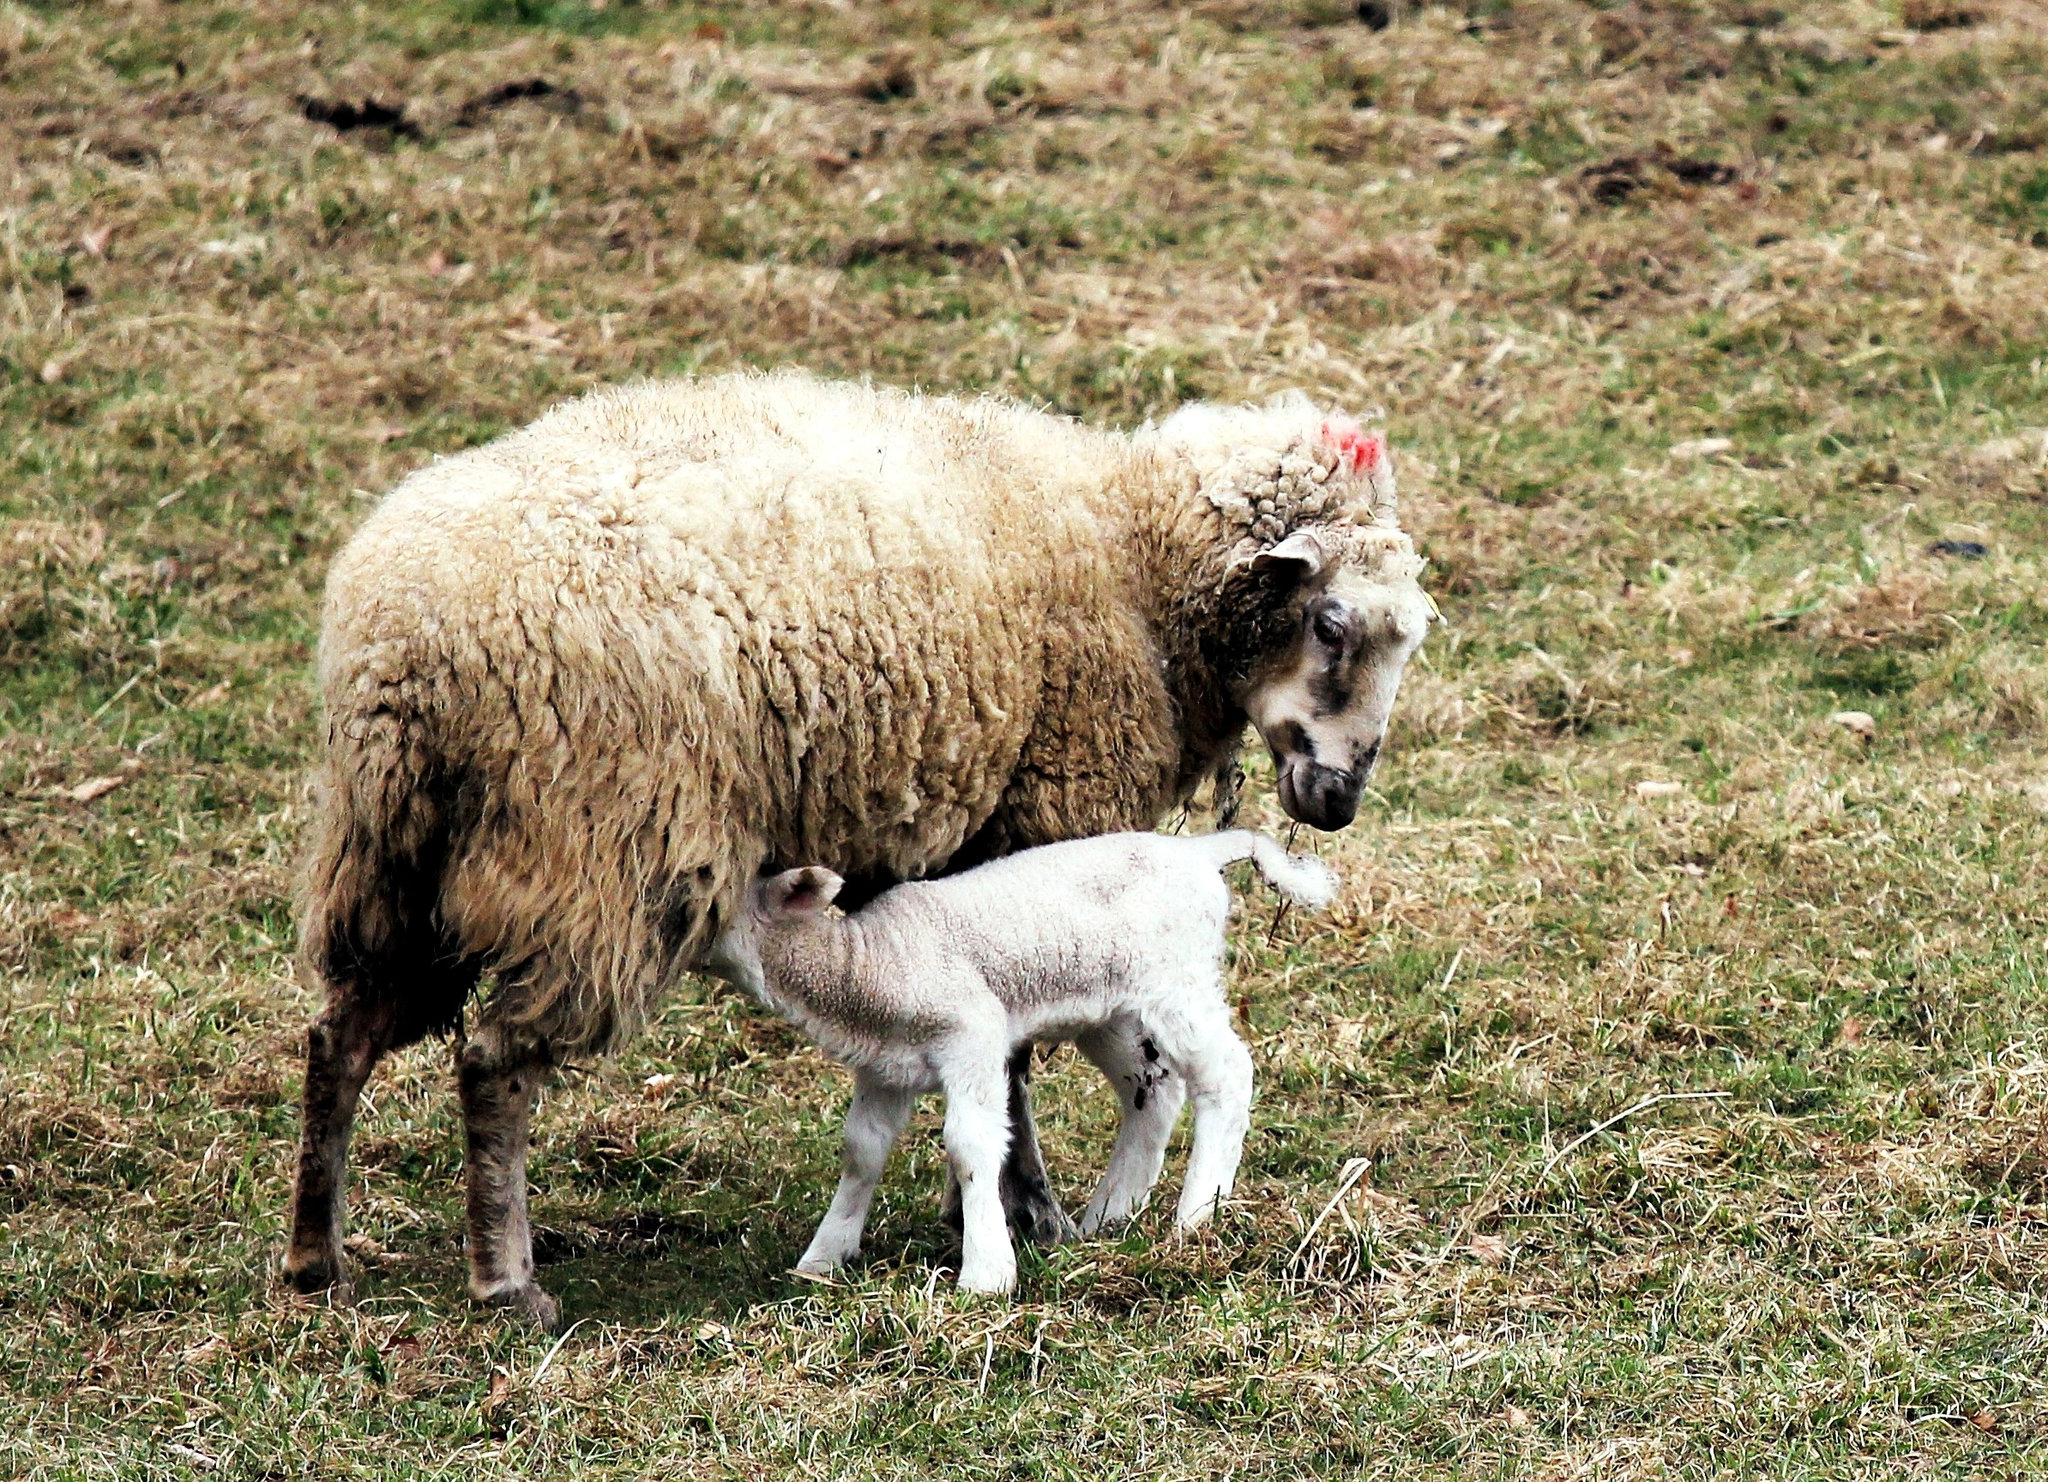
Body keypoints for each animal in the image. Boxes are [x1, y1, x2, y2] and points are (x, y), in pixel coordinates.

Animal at [712, 826, 1335, 1293]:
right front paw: (823, 1258)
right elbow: (862, 1151)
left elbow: (970, 1146)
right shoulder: (884, 1067)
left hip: (1177, 979)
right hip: (1110, 1008)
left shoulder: (972, 1035)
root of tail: (1198, 850)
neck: (869, 964)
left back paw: (1196, 1216)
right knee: (1152, 1089)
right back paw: (1108, 1218)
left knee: (1226, 1074)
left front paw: (985, 1274)